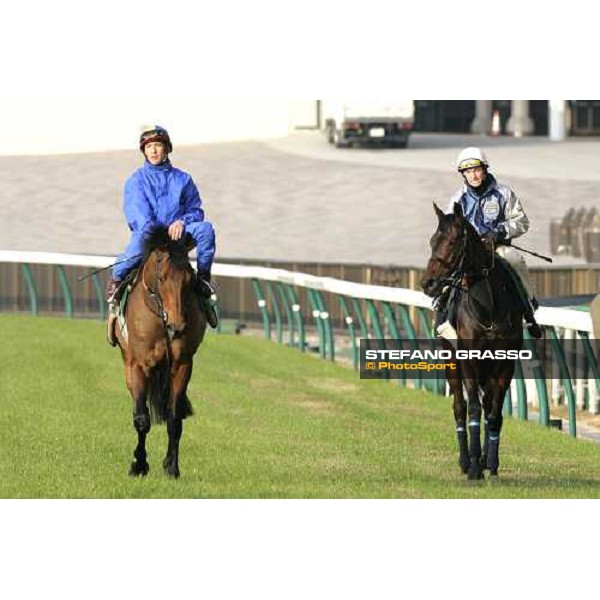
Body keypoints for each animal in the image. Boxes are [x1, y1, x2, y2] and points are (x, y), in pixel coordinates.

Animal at [115, 229, 209, 478]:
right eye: (162, 278)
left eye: (189, 280)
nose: (177, 327)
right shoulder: (139, 365)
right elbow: (141, 418)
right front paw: (138, 464)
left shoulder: (182, 364)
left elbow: (174, 420)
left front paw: (172, 467)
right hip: (128, 364)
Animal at [420, 204, 524, 480]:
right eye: (432, 241)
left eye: (453, 241)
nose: (428, 283)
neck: (488, 306)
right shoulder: (469, 362)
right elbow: (474, 409)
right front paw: (475, 466)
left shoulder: (504, 365)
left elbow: (495, 412)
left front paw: (491, 462)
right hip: (451, 363)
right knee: (460, 406)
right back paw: (466, 460)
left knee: (487, 405)